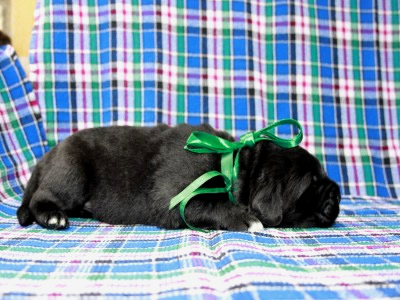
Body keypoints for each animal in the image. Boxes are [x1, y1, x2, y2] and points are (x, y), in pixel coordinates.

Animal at [17, 123, 340, 231]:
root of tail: (47, 155)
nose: (337, 193)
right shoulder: (174, 196)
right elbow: (210, 204)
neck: (234, 164)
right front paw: (246, 218)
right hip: (73, 170)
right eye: (310, 183)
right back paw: (53, 217)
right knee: (41, 197)